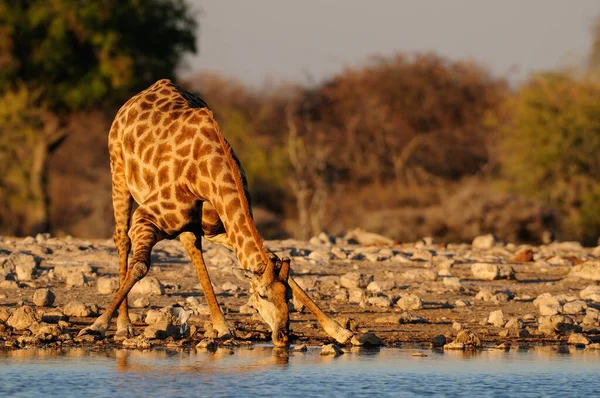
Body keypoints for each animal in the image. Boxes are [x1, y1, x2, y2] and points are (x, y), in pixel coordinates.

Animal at [79, 78, 352, 346]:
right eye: (261, 295)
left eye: (287, 297)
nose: (283, 336)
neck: (207, 173)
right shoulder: (145, 218)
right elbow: (140, 267)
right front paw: (96, 326)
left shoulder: (219, 228)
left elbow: (276, 263)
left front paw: (340, 331)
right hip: (118, 171)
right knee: (121, 238)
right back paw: (124, 325)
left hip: (191, 223)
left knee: (191, 247)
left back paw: (221, 325)